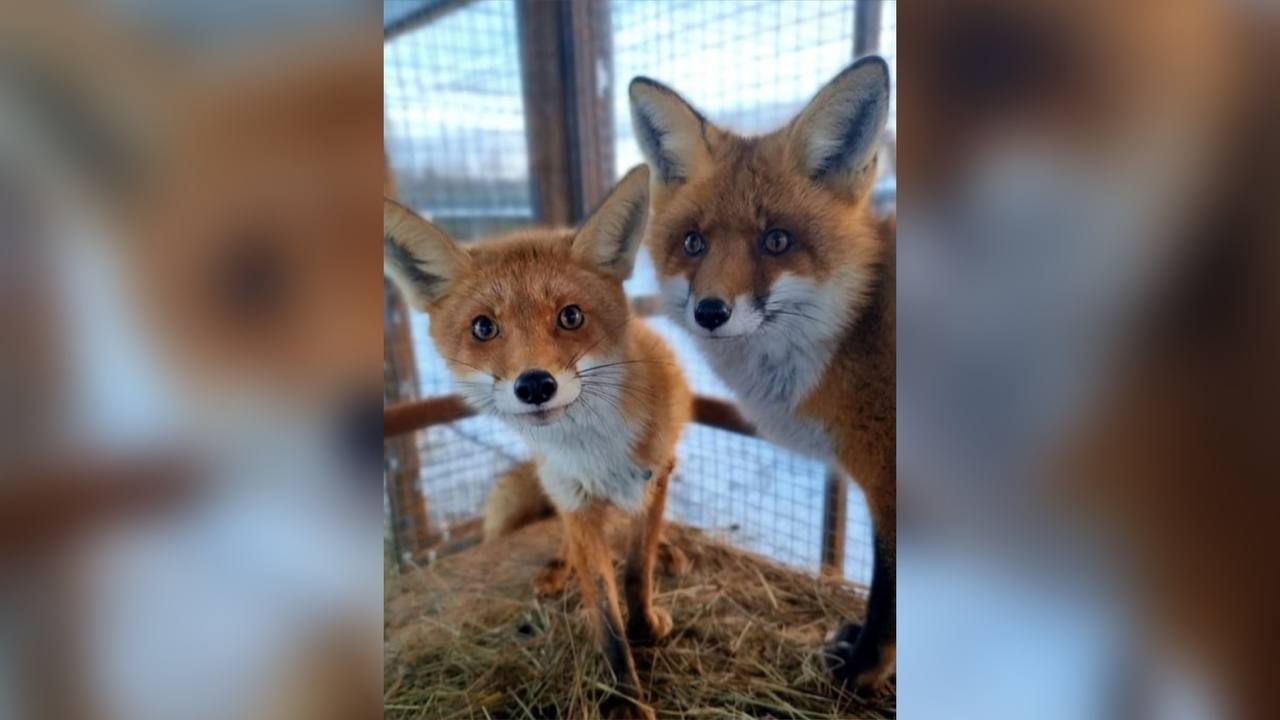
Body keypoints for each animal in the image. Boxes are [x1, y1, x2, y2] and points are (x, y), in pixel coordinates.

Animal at [381, 165, 691, 712]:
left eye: (571, 316)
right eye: (484, 327)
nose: (534, 385)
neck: (593, 451)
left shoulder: (652, 478)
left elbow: (637, 570)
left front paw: (646, 625)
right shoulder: (575, 498)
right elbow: (604, 611)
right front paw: (625, 697)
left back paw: (668, 550)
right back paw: (558, 565)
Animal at [627, 57, 896, 696]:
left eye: (776, 241)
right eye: (693, 242)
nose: (710, 312)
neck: (859, 331)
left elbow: (888, 600)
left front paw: (861, 671)